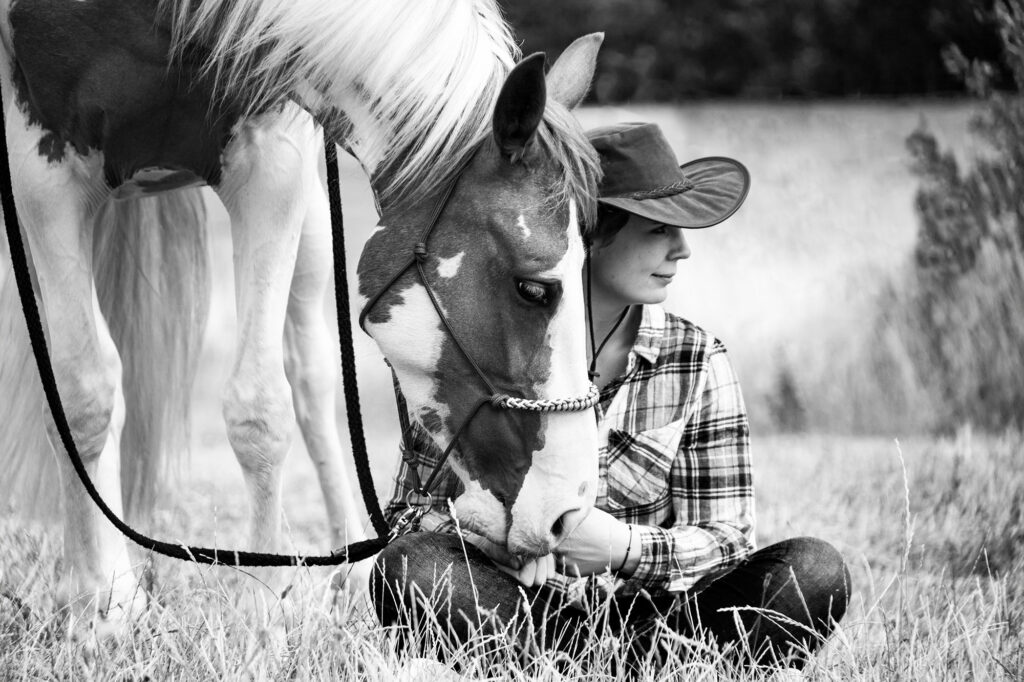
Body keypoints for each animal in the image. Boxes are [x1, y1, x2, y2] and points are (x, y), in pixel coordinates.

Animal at [0, 0, 602, 632]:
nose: (569, 512)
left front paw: (262, 606)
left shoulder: (272, 158)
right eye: (534, 290)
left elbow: (261, 407)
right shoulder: (40, 178)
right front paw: (101, 602)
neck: (164, 21)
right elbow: (81, 398)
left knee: (310, 379)